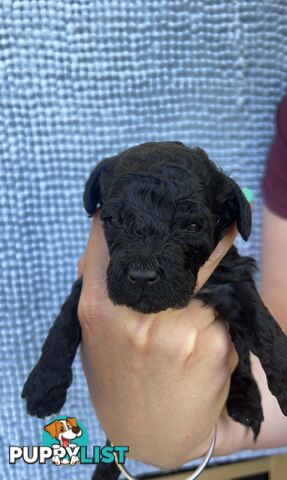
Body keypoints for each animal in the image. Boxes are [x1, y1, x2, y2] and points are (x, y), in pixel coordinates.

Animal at [22, 141, 287, 478]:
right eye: (113, 220)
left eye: (192, 226)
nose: (142, 276)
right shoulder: (91, 282)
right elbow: (63, 324)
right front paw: (45, 383)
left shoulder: (233, 282)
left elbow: (267, 334)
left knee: (241, 360)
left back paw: (247, 402)